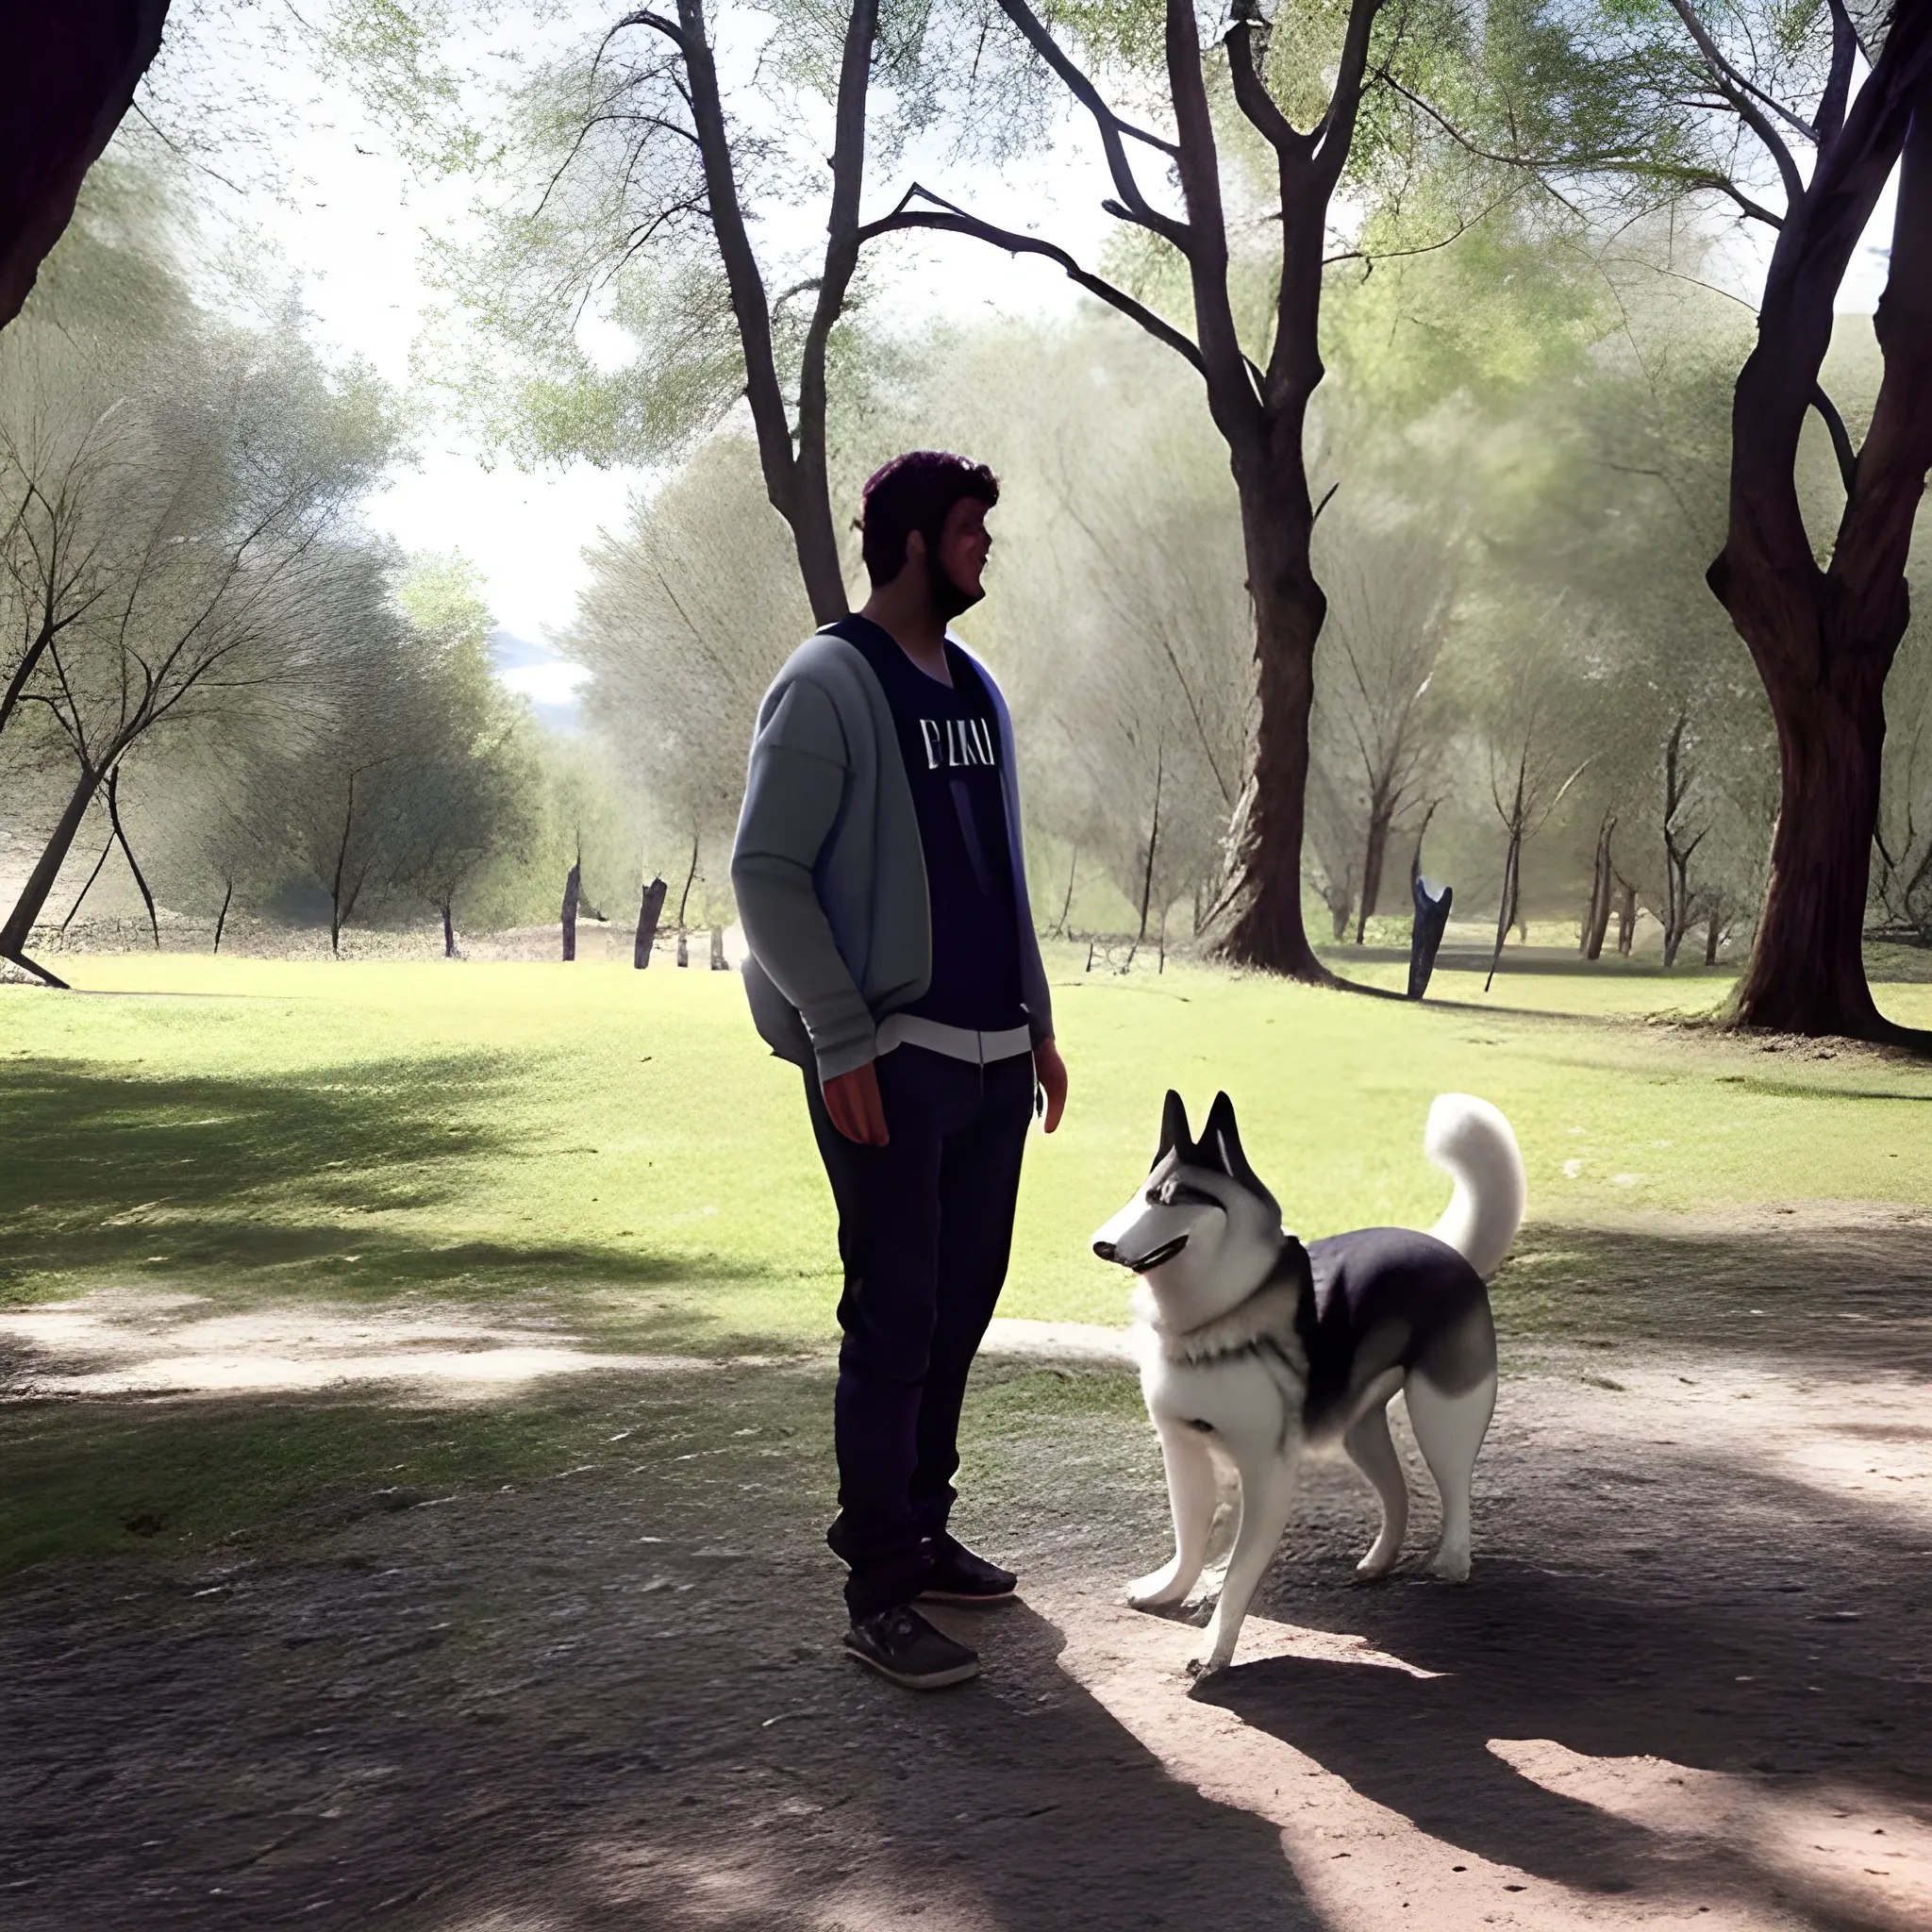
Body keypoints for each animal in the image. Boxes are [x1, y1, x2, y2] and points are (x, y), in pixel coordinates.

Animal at [1090, 1090, 1522, 1676]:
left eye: (1170, 1198)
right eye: (1142, 1194)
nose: (1101, 1246)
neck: (1215, 1317)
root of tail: (1443, 1249)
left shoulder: (1267, 1470)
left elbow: (1239, 1572)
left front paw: (1213, 1650)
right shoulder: (1182, 1447)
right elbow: (1190, 1536)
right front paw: (1170, 1590)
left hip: (1445, 1412)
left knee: (1454, 1487)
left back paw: (1451, 1563)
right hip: (1360, 1429)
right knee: (1398, 1492)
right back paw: (1378, 1561)